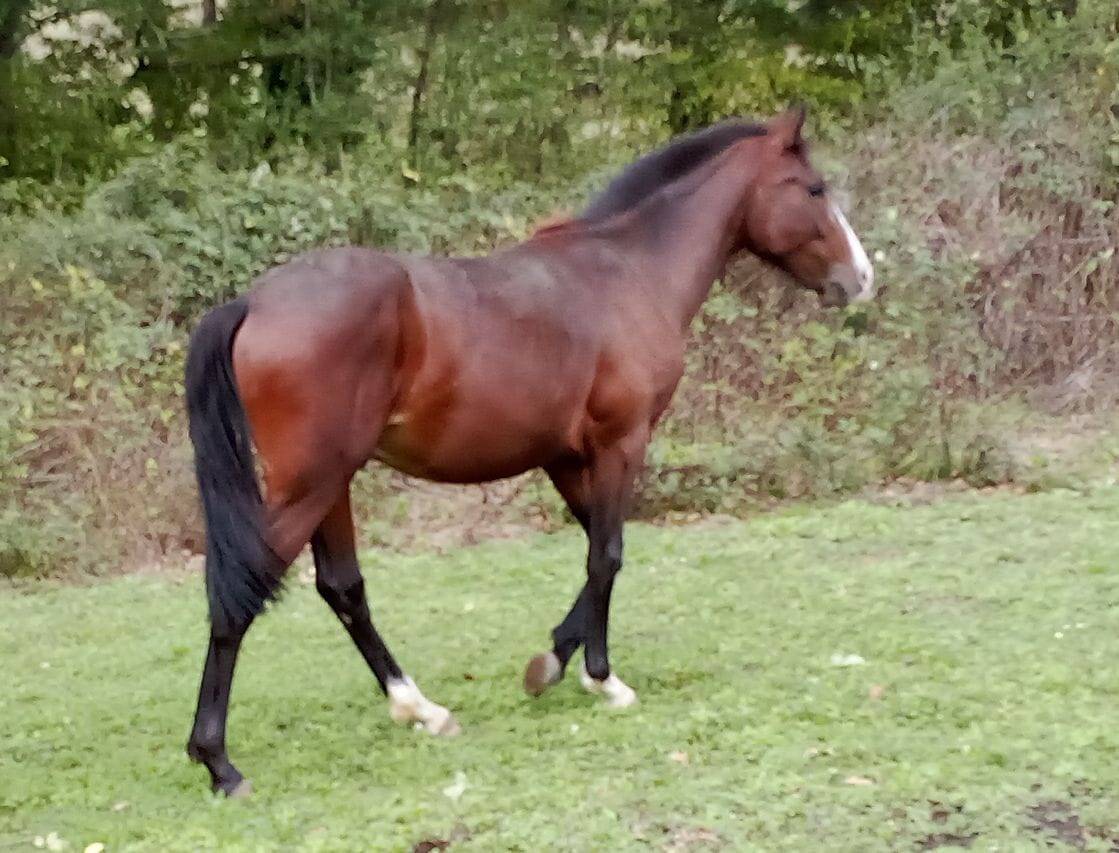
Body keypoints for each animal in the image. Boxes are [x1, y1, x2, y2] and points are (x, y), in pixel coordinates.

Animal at [183, 106, 875, 796]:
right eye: (813, 188)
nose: (862, 278)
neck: (627, 271)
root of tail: (251, 303)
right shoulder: (621, 442)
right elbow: (608, 555)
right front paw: (602, 678)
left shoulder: (564, 456)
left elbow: (596, 549)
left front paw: (553, 659)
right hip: (312, 484)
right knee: (238, 596)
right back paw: (219, 761)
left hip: (333, 483)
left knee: (342, 587)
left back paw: (421, 709)